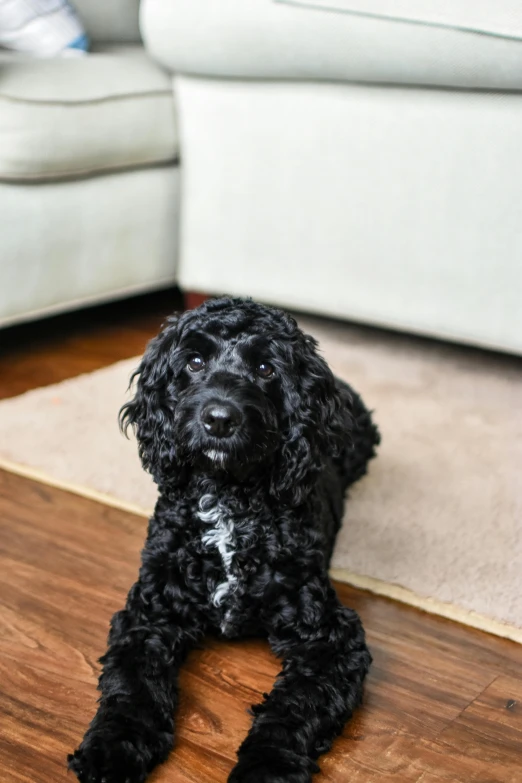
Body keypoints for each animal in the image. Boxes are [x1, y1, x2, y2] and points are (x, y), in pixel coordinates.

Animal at [68, 298, 378, 780]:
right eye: (194, 362)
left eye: (266, 368)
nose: (219, 419)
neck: (229, 499)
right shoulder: (150, 614)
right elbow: (132, 686)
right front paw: (112, 747)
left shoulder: (330, 637)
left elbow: (294, 706)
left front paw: (268, 765)